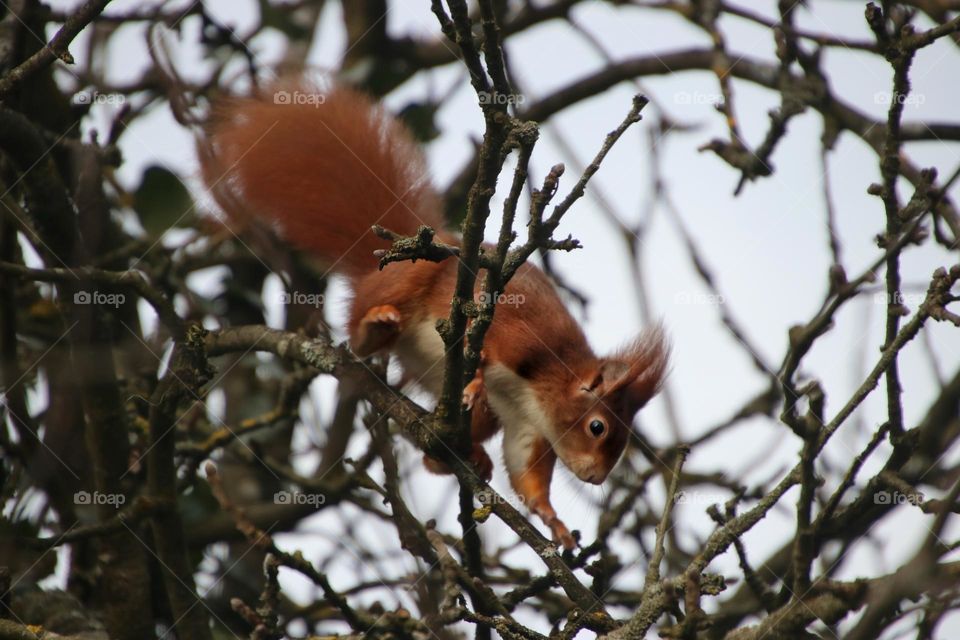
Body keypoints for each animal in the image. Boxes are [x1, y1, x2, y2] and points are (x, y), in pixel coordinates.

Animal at [202, 81, 668, 552]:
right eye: (598, 427)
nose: (595, 478)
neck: (546, 386)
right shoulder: (518, 339)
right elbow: (484, 351)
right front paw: (475, 378)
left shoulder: (527, 427)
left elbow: (526, 476)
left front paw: (553, 522)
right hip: (410, 280)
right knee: (357, 337)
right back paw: (377, 327)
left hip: (477, 414)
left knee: (437, 454)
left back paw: (464, 457)